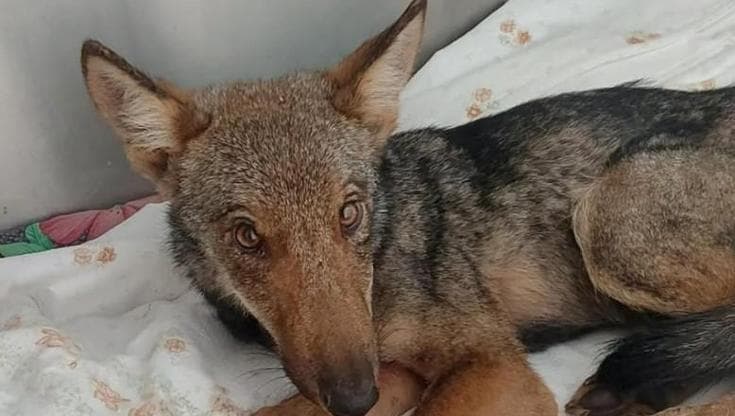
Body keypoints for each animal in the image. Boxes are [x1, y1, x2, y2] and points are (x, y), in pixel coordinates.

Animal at [79, 0, 735, 415]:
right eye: (247, 236)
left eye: (349, 213)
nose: (353, 401)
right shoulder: (386, 369)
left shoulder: (489, 360)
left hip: (607, 225)